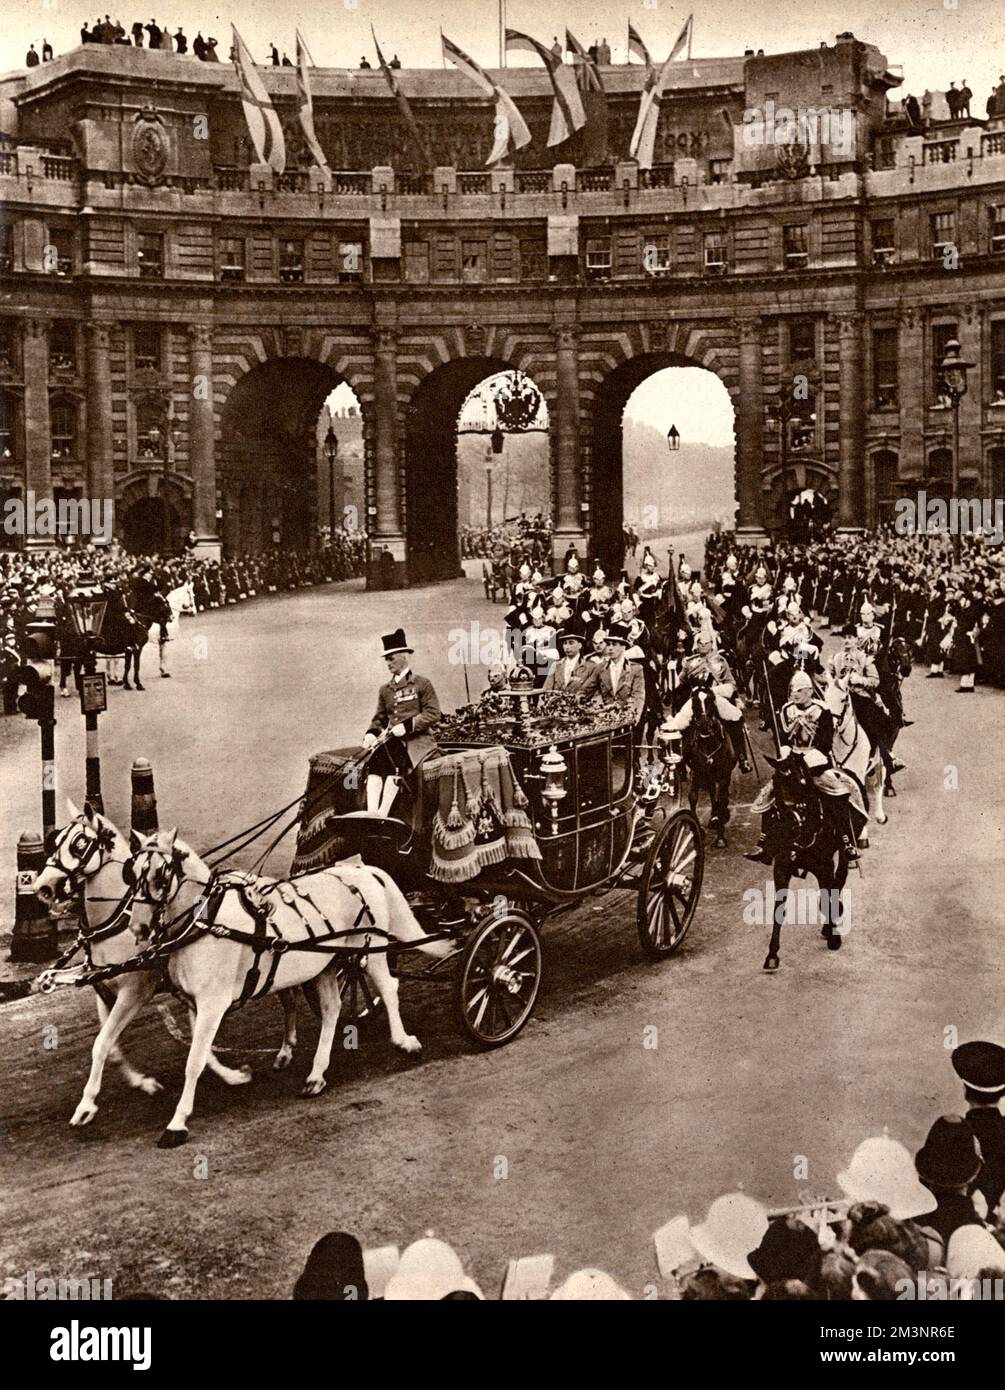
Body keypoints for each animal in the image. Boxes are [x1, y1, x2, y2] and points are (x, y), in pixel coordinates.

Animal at [34, 806, 298, 1128]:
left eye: (80, 843)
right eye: (55, 839)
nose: (42, 888)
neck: (115, 921)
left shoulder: (134, 991)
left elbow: (102, 1044)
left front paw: (86, 1105)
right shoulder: (105, 992)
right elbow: (112, 1049)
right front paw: (143, 1083)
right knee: (287, 994)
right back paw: (286, 1046)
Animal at [127, 828, 453, 1145]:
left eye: (161, 872)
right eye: (132, 872)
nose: (138, 928)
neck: (206, 922)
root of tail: (366, 870)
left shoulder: (212, 1003)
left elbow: (194, 1061)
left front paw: (177, 1124)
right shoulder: (195, 1003)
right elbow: (203, 1053)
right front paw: (235, 1077)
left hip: (370, 948)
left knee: (388, 988)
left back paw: (403, 1041)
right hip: (326, 964)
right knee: (332, 1008)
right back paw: (316, 1075)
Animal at [681, 686, 733, 845]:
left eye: (711, 700)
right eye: (694, 702)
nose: (704, 726)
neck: (709, 744)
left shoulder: (723, 776)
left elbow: (721, 799)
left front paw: (720, 836)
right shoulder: (696, 773)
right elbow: (693, 797)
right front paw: (698, 830)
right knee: (711, 792)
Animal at [767, 756, 850, 973]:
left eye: (801, 782)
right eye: (775, 781)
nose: (788, 823)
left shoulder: (824, 867)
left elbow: (829, 894)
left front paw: (834, 938)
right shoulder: (782, 868)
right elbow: (778, 909)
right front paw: (772, 954)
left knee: (840, 877)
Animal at [822, 672, 889, 834]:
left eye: (843, 699)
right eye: (825, 697)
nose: (829, 725)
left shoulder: (857, 773)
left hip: (879, 762)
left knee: (879, 783)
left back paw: (880, 816)